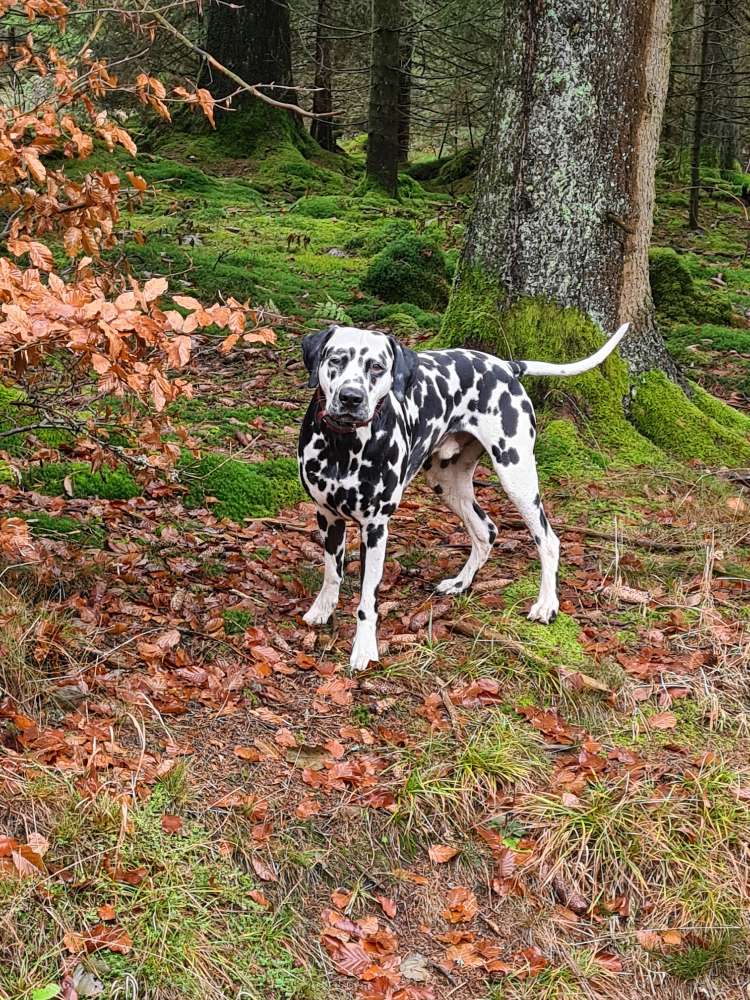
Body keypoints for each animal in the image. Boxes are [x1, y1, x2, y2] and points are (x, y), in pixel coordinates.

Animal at [296, 324, 632, 668]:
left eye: (376, 366)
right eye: (336, 359)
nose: (351, 397)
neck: (343, 446)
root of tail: (507, 366)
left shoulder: (375, 528)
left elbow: (367, 600)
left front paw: (364, 648)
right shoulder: (327, 516)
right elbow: (331, 573)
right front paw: (322, 610)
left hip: (517, 476)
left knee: (547, 540)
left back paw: (546, 604)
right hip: (447, 483)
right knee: (486, 531)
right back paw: (460, 582)